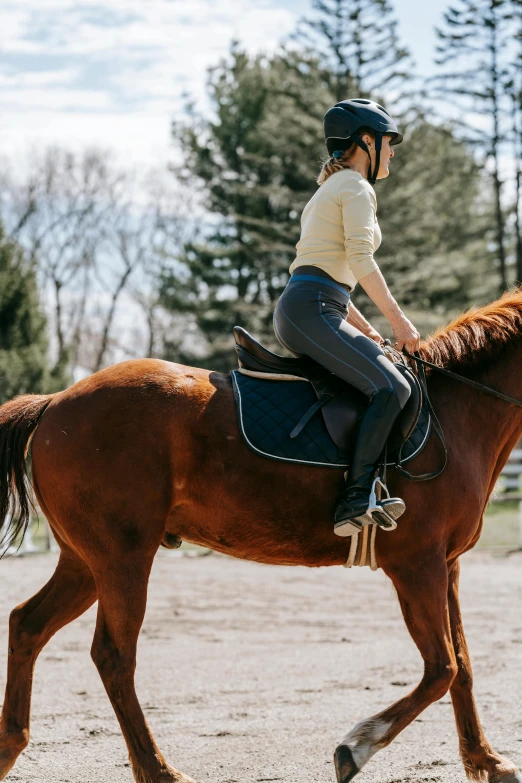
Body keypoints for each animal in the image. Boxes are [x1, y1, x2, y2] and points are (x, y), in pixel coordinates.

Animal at [1, 290, 520, 783]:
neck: (454, 413)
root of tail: (56, 401)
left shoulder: (446, 564)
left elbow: (462, 665)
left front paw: (487, 761)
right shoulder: (417, 564)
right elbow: (442, 667)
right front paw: (356, 748)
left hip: (85, 562)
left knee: (28, 624)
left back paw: (10, 746)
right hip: (122, 559)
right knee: (113, 655)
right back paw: (159, 770)